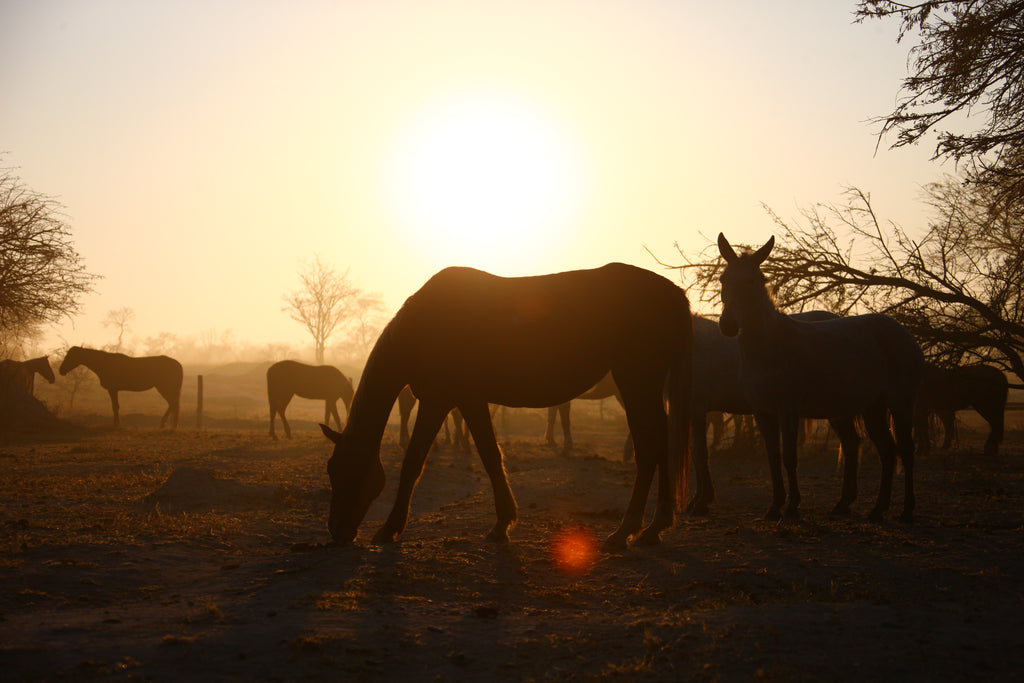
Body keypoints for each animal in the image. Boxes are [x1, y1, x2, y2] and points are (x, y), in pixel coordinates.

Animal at [319, 263, 693, 549]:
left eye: (341, 471)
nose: (337, 533)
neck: (427, 324)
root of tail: (673, 294)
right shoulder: (465, 401)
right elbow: (489, 455)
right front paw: (503, 524)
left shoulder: (442, 400)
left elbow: (418, 462)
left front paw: (390, 528)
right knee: (660, 442)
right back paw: (654, 527)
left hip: (635, 383)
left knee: (649, 446)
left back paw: (625, 530)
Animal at [717, 234, 924, 522]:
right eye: (724, 279)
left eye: (752, 281)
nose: (728, 325)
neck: (769, 348)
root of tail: (905, 335)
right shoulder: (762, 411)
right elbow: (772, 458)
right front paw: (774, 507)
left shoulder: (789, 408)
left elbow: (789, 456)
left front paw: (792, 508)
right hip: (872, 408)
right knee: (886, 451)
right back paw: (874, 509)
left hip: (900, 403)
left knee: (905, 449)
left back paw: (906, 510)